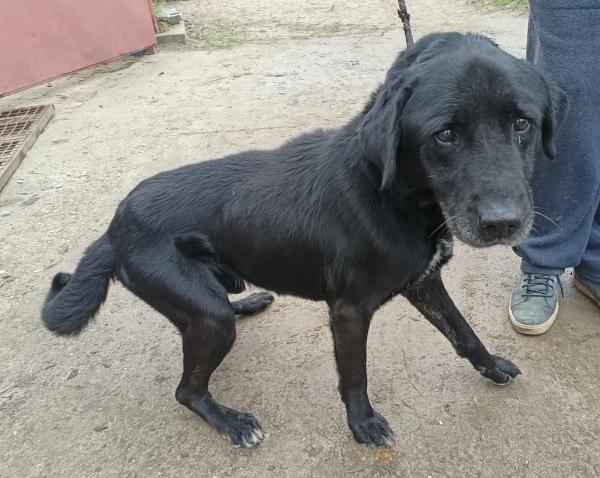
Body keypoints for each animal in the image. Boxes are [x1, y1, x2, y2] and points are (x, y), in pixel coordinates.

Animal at [42, 32, 567, 448]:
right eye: (445, 135)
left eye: (522, 123)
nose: (503, 223)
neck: (393, 193)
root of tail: (115, 226)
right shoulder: (349, 311)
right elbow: (355, 375)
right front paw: (363, 426)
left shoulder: (424, 282)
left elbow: (463, 332)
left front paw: (492, 366)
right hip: (209, 321)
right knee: (187, 390)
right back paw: (233, 423)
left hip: (208, 299)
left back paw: (249, 303)